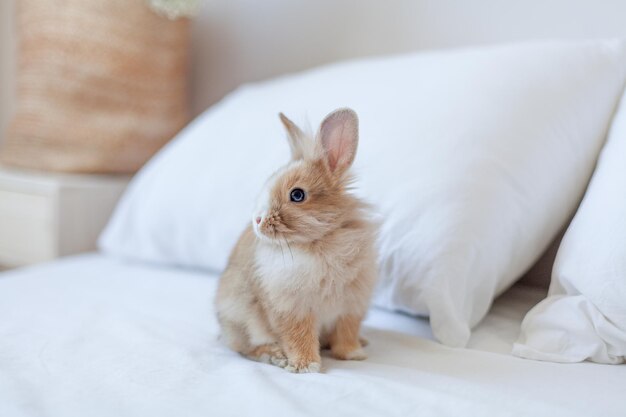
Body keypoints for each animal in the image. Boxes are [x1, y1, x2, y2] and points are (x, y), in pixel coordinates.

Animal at [214, 108, 376, 374]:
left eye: (297, 195)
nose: (257, 220)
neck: (319, 241)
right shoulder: (292, 308)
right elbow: (299, 337)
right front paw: (305, 366)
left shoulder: (351, 307)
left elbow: (346, 333)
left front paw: (353, 354)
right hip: (244, 318)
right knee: (247, 348)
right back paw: (275, 356)